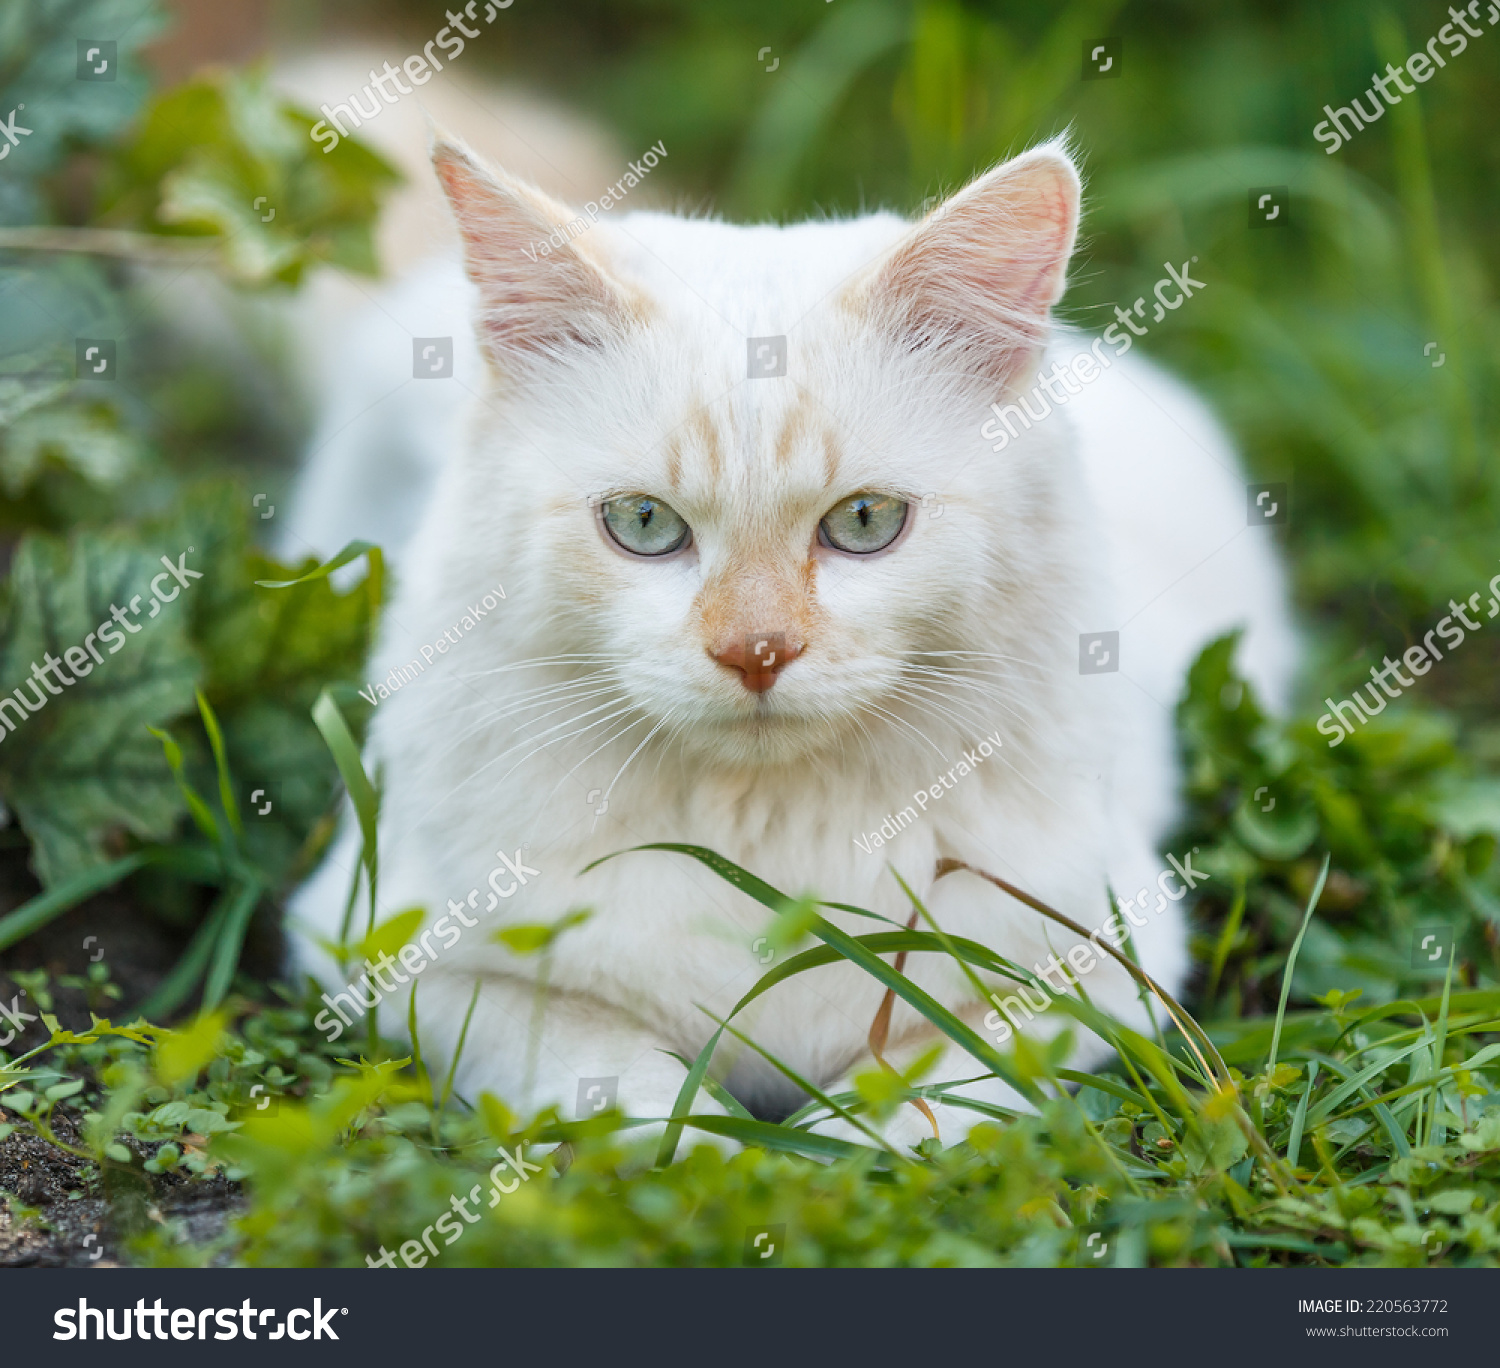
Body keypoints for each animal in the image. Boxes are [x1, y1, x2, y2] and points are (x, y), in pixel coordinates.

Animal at [286, 136, 1296, 1146]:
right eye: (644, 524)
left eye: (865, 521)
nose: (756, 653)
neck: (762, 833)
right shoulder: (403, 966)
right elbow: (627, 1089)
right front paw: (716, 1153)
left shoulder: (1102, 970)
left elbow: (924, 1101)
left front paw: (835, 1154)